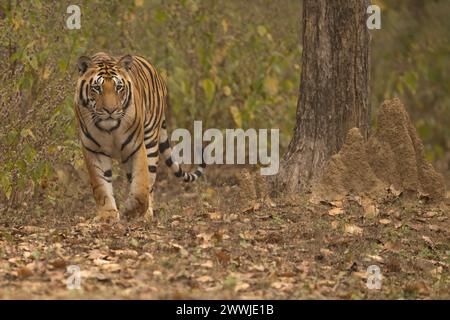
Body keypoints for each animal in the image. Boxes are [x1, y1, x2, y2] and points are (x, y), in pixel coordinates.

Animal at [74, 53, 206, 222]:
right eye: (97, 88)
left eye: (118, 87)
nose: (111, 110)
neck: (110, 129)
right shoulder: (93, 151)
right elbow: (101, 186)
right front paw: (107, 215)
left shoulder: (136, 147)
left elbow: (142, 185)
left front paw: (132, 211)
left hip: (151, 140)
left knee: (149, 180)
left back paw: (147, 212)